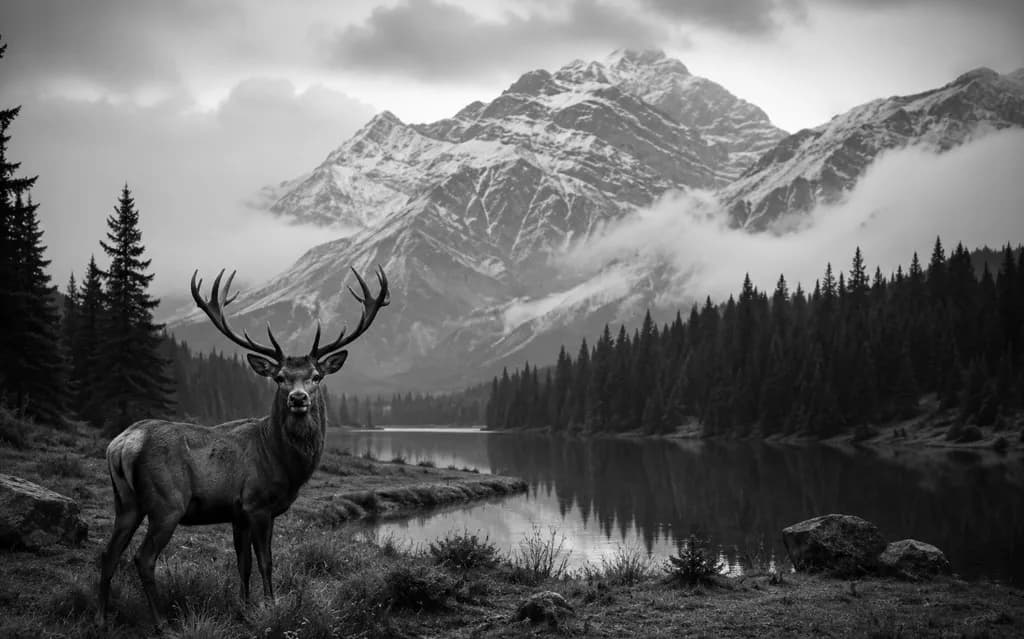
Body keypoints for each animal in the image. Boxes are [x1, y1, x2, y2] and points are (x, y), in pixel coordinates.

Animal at [96, 266, 389, 630]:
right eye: (279, 377)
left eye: (316, 376)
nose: (298, 398)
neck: (282, 461)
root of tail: (122, 444)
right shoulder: (257, 503)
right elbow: (266, 561)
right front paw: (271, 606)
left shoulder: (238, 513)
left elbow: (243, 563)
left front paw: (244, 608)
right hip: (166, 502)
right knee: (143, 557)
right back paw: (162, 621)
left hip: (125, 502)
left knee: (108, 553)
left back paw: (101, 618)